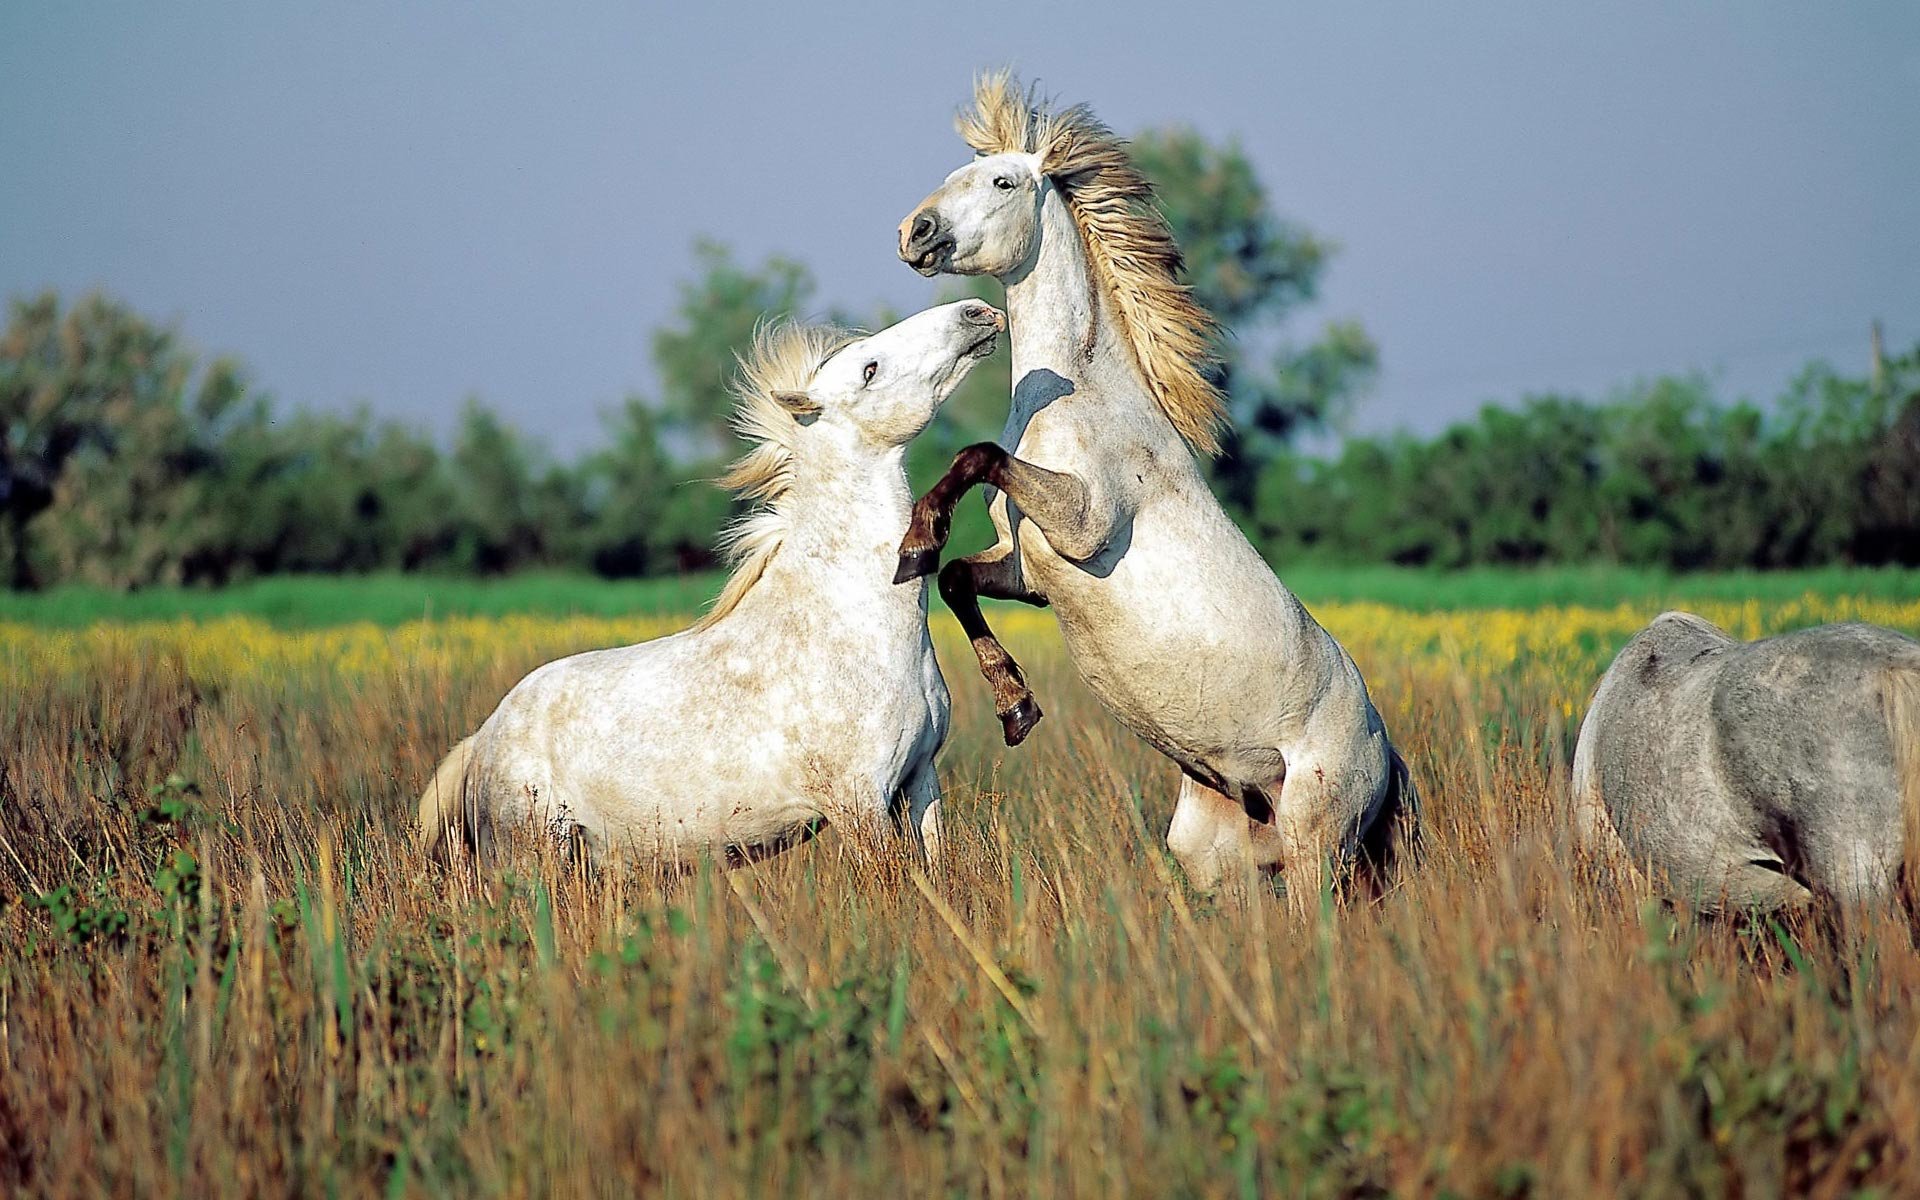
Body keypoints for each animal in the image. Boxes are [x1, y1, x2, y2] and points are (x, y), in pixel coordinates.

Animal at [416, 295, 1006, 864]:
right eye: (870, 369)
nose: (977, 312)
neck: (853, 627)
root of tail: (481, 739)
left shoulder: (921, 780)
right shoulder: (858, 803)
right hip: (533, 855)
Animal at [890, 74, 1420, 894]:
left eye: (1004, 182)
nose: (914, 233)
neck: (1083, 398)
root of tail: (1385, 753)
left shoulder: (1083, 525)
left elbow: (977, 456)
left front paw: (915, 539)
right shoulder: (1029, 569)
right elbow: (952, 578)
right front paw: (1016, 709)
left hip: (1316, 846)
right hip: (1218, 856)